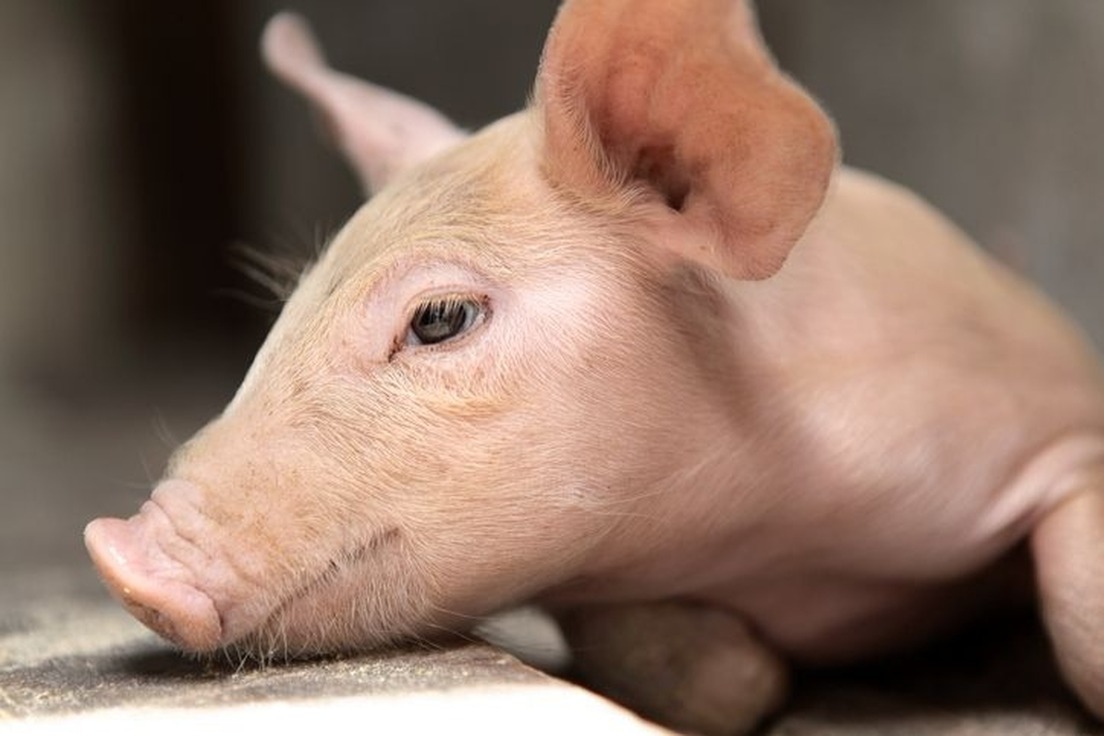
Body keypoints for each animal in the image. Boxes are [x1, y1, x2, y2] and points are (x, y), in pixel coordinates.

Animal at [84, 1, 1104, 734]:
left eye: (440, 319)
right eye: (289, 309)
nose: (116, 550)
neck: (786, 544)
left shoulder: (1052, 431)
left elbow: (1078, 602)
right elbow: (710, 677)